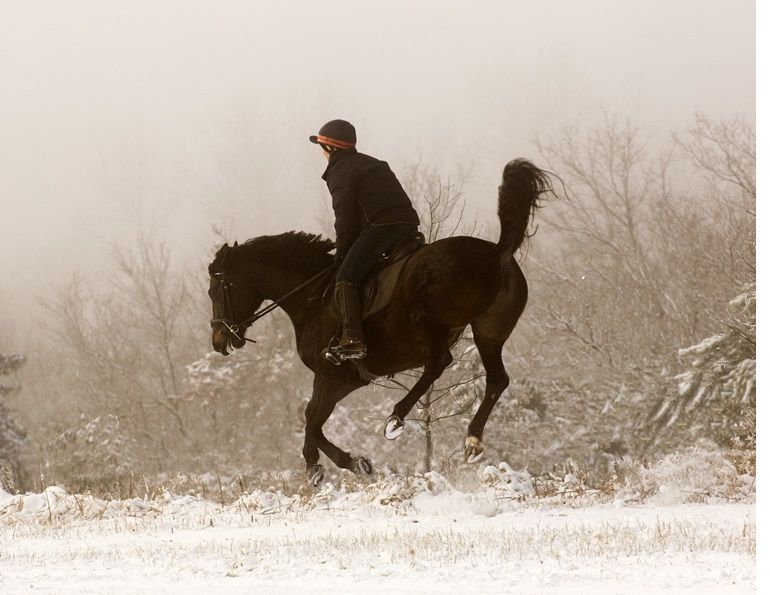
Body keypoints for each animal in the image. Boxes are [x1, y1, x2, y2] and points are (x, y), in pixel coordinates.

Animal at [208, 159, 553, 484]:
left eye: (214, 290)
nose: (219, 341)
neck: (311, 293)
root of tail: (498, 253)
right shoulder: (349, 379)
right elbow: (310, 417)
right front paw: (320, 465)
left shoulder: (332, 375)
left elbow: (312, 422)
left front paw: (346, 463)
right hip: (488, 332)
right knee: (496, 379)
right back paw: (472, 439)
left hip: (428, 320)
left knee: (439, 362)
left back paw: (396, 418)